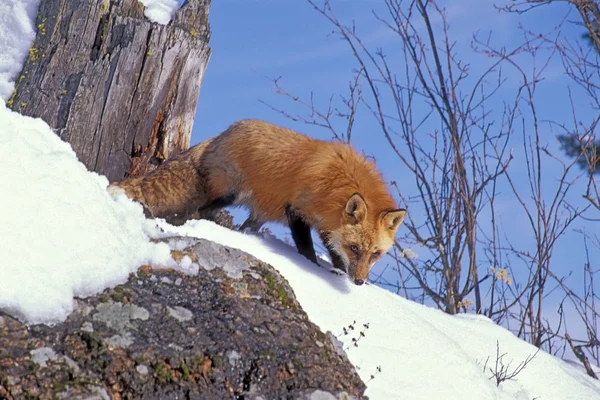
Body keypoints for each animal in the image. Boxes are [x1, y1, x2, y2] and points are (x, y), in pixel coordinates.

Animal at [109, 119, 406, 284]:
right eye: (355, 248)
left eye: (375, 254)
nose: (360, 282)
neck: (336, 182)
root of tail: (222, 134)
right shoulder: (296, 209)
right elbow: (307, 249)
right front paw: (312, 268)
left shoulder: (327, 223)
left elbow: (333, 251)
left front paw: (337, 270)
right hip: (231, 194)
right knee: (199, 211)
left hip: (256, 211)